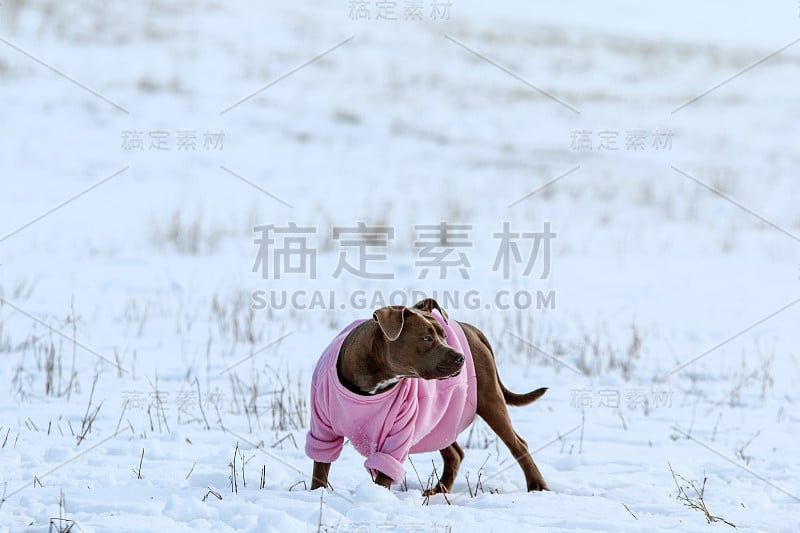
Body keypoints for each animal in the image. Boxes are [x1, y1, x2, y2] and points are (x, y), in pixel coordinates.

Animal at [304, 298, 548, 492]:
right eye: (426, 338)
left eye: (444, 335)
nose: (460, 358)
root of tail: (472, 330)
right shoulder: (322, 429)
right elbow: (320, 467)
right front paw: (317, 494)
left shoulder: (399, 432)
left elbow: (384, 470)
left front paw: (377, 497)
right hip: (439, 421)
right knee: (455, 454)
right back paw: (438, 491)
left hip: (490, 401)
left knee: (518, 445)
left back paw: (538, 486)